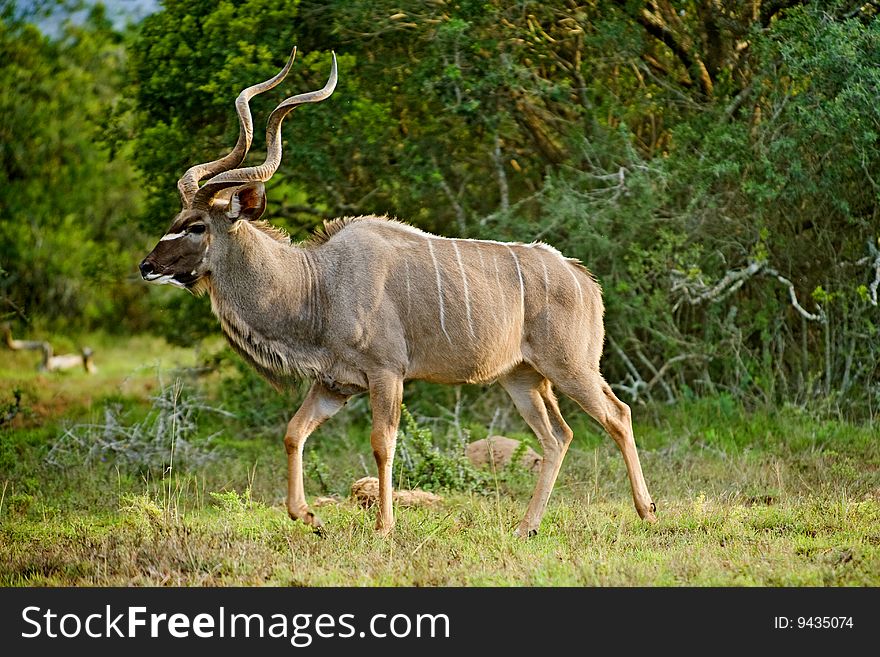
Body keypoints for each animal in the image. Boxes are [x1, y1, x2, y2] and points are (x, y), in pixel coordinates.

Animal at [141, 48, 656, 536]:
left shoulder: (386, 373)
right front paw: (308, 517)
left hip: (571, 367)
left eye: (195, 226)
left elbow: (381, 444)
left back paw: (646, 512)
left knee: (618, 415)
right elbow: (293, 432)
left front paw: (384, 526)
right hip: (523, 377)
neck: (318, 283)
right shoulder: (334, 384)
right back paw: (526, 526)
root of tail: (581, 277)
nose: (147, 267)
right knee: (558, 437)